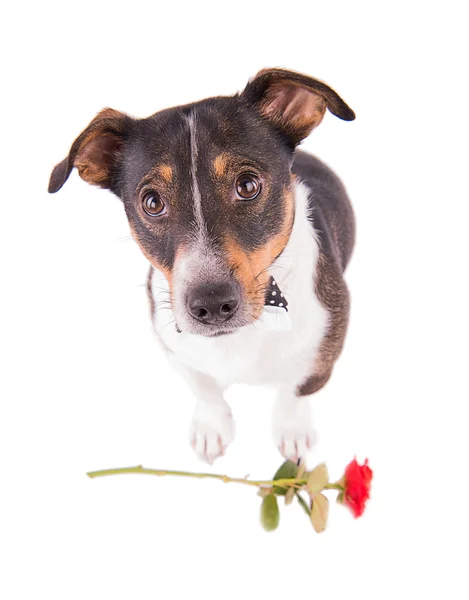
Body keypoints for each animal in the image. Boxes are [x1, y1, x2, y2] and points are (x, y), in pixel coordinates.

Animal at [48, 69, 354, 464]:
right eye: (152, 202)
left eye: (248, 185)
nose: (210, 304)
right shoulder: (177, 351)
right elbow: (205, 389)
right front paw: (212, 428)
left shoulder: (323, 355)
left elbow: (294, 393)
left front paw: (293, 432)